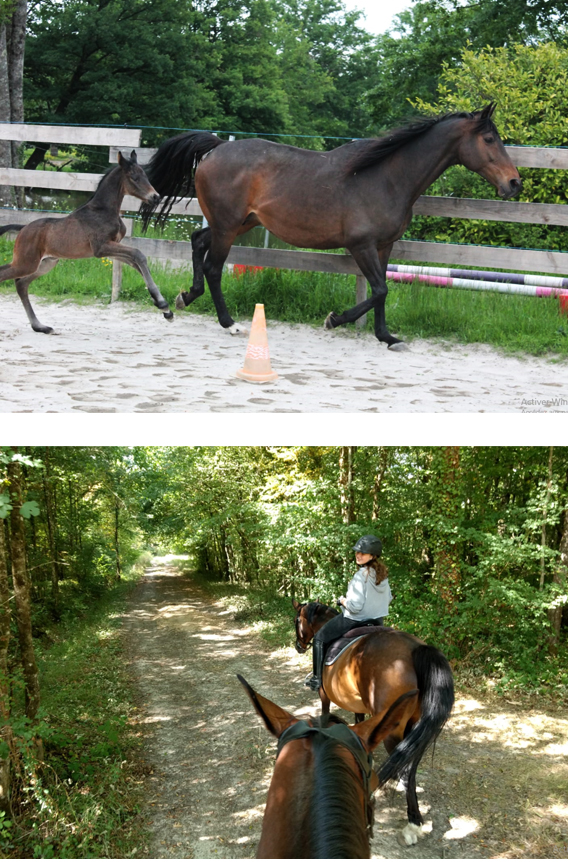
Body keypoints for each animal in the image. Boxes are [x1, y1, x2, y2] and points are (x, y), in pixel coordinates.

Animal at [0, 152, 173, 334]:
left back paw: (41, 326)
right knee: (10, 277)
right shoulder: (101, 248)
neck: (103, 211)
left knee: (21, 284)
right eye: (134, 177)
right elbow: (138, 255)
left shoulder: (110, 249)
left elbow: (136, 262)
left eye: (145, 175)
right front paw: (162, 304)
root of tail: (23, 228)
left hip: (46, 263)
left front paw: (165, 309)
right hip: (25, 263)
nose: (156, 197)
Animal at [141, 105, 520, 352]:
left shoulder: (384, 246)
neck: (386, 178)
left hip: (236, 223)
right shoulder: (361, 245)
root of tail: (218, 147)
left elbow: (381, 291)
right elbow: (379, 289)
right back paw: (229, 322)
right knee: (214, 267)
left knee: (196, 241)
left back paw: (185, 296)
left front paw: (387, 337)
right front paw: (334, 319)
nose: (514, 183)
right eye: (489, 139)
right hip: (228, 225)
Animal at [292, 596, 452, 848]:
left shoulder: (325, 695)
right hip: (416, 725)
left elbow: (326, 715)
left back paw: (412, 826)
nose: (298, 646)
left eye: (296, 620)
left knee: (406, 768)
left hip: (395, 728)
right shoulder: (359, 705)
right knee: (410, 764)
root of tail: (417, 649)